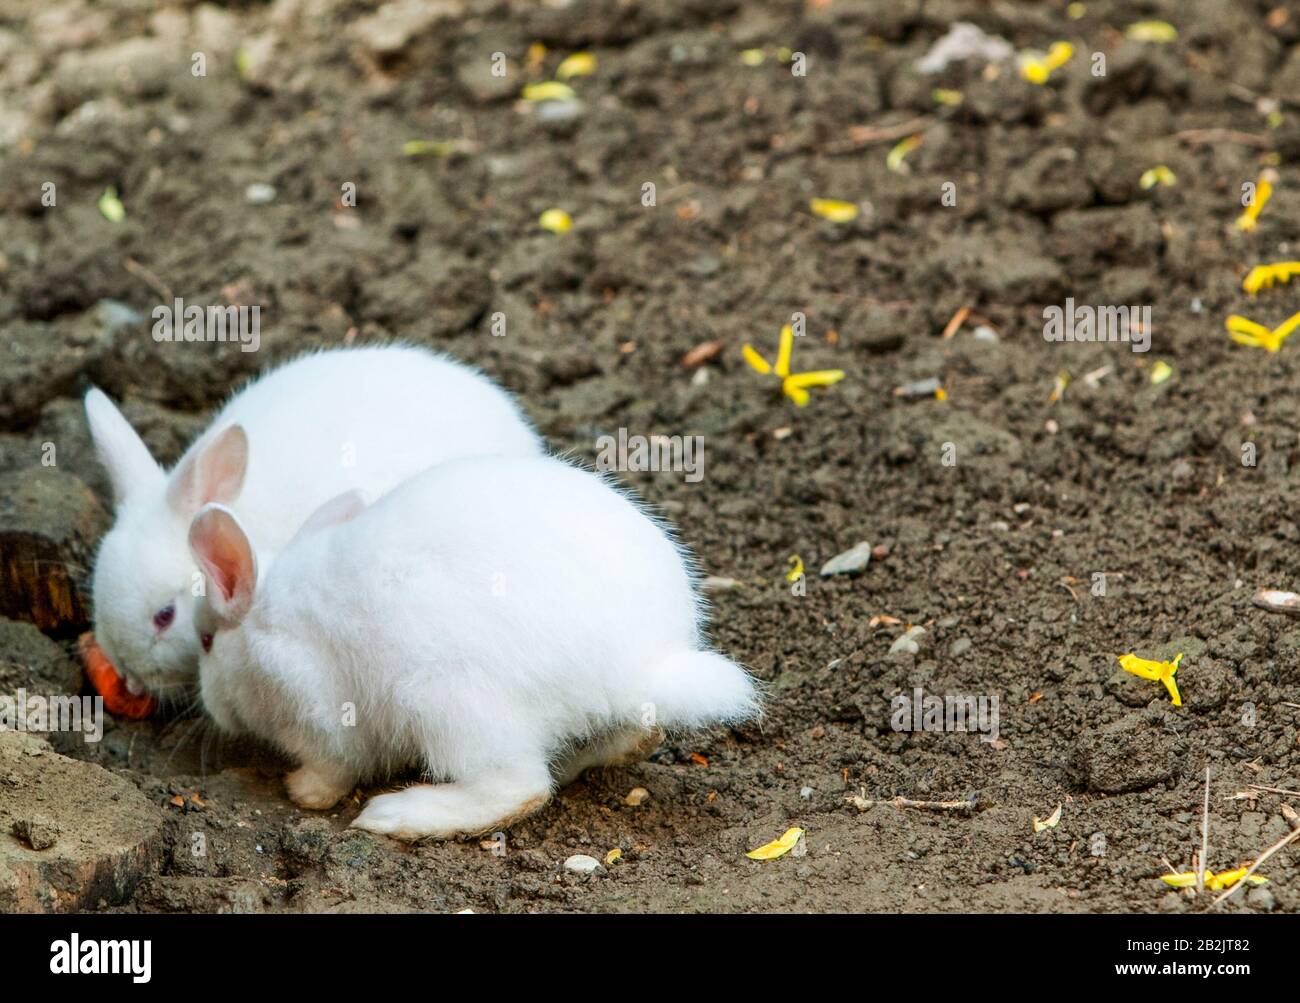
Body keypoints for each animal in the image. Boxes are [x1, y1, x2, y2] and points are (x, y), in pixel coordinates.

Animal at [187, 454, 759, 836]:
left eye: (206, 640)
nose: (212, 708)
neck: (263, 621)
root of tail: (642, 665)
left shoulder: (315, 707)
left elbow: (334, 764)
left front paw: (303, 792)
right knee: (628, 739)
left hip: (445, 701)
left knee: (520, 788)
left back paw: (398, 815)